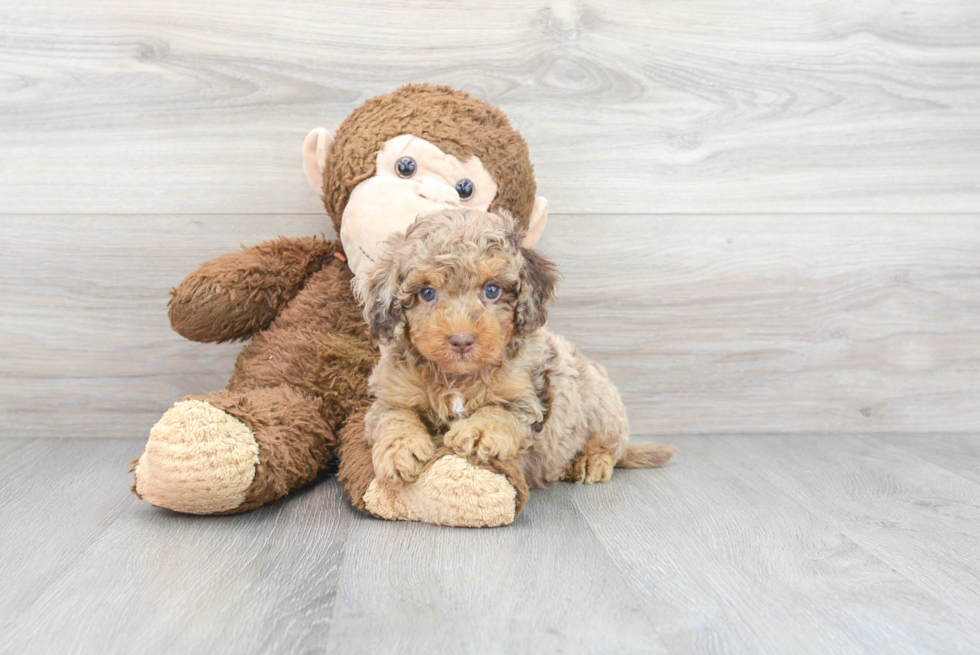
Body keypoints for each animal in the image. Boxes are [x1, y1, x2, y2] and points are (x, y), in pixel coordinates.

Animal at [352, 208, 672, 490]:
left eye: (492, 290)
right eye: (427, 293)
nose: (462, 340)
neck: (457, 378)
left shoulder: (528, 397)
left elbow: (501, 412)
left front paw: (478, 432)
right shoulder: (392, 396)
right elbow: (395, 418)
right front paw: (399, 451)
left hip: (602, 405)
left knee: (609, 447)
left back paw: (590, 461)